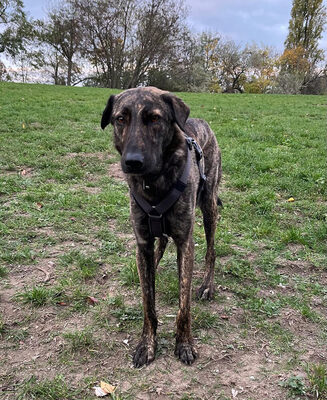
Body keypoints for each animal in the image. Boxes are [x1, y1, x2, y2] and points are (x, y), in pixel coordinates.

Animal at [101, 86, 222, 368]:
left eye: (155, 118)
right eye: (120, 119)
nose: (133, 162)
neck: (153, 182)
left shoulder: (185, 243)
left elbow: (183, 305)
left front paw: (184, 344)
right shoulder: (142, 241)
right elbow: (148, 304)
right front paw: (147, 344)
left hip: (209, 206)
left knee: (211, 250)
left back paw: (207, 285)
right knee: (160, 245)